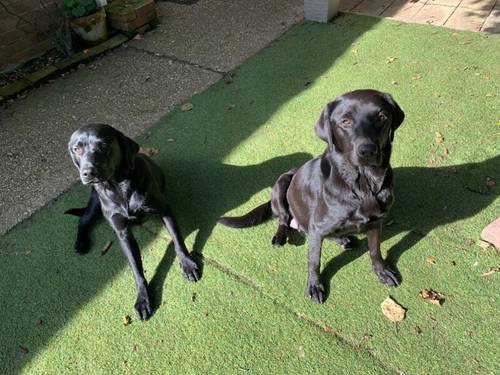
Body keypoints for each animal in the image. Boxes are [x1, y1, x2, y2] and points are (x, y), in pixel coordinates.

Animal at [67, 123, 199, 320]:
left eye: (103, 145)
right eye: (77, 149)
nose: (88, 172)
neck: (118, 186)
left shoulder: (165, 210)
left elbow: (177, 240)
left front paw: (187, 264)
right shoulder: (122, 232)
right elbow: (136, 269)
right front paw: (143, 299)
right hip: (95, 200)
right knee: (83, 220)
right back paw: (81, 242)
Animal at [218, 89, 402, 304]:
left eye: (382, 117)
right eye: (345, 121)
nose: (368, 151)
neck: (362, 185)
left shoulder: (375, 223)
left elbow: (375, 250)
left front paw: (383, 271)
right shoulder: (318, 227)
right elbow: (314, 260)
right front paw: (314, 286)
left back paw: (343, 239)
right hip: (282, 182)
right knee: (284, 219)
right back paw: (281, 236)